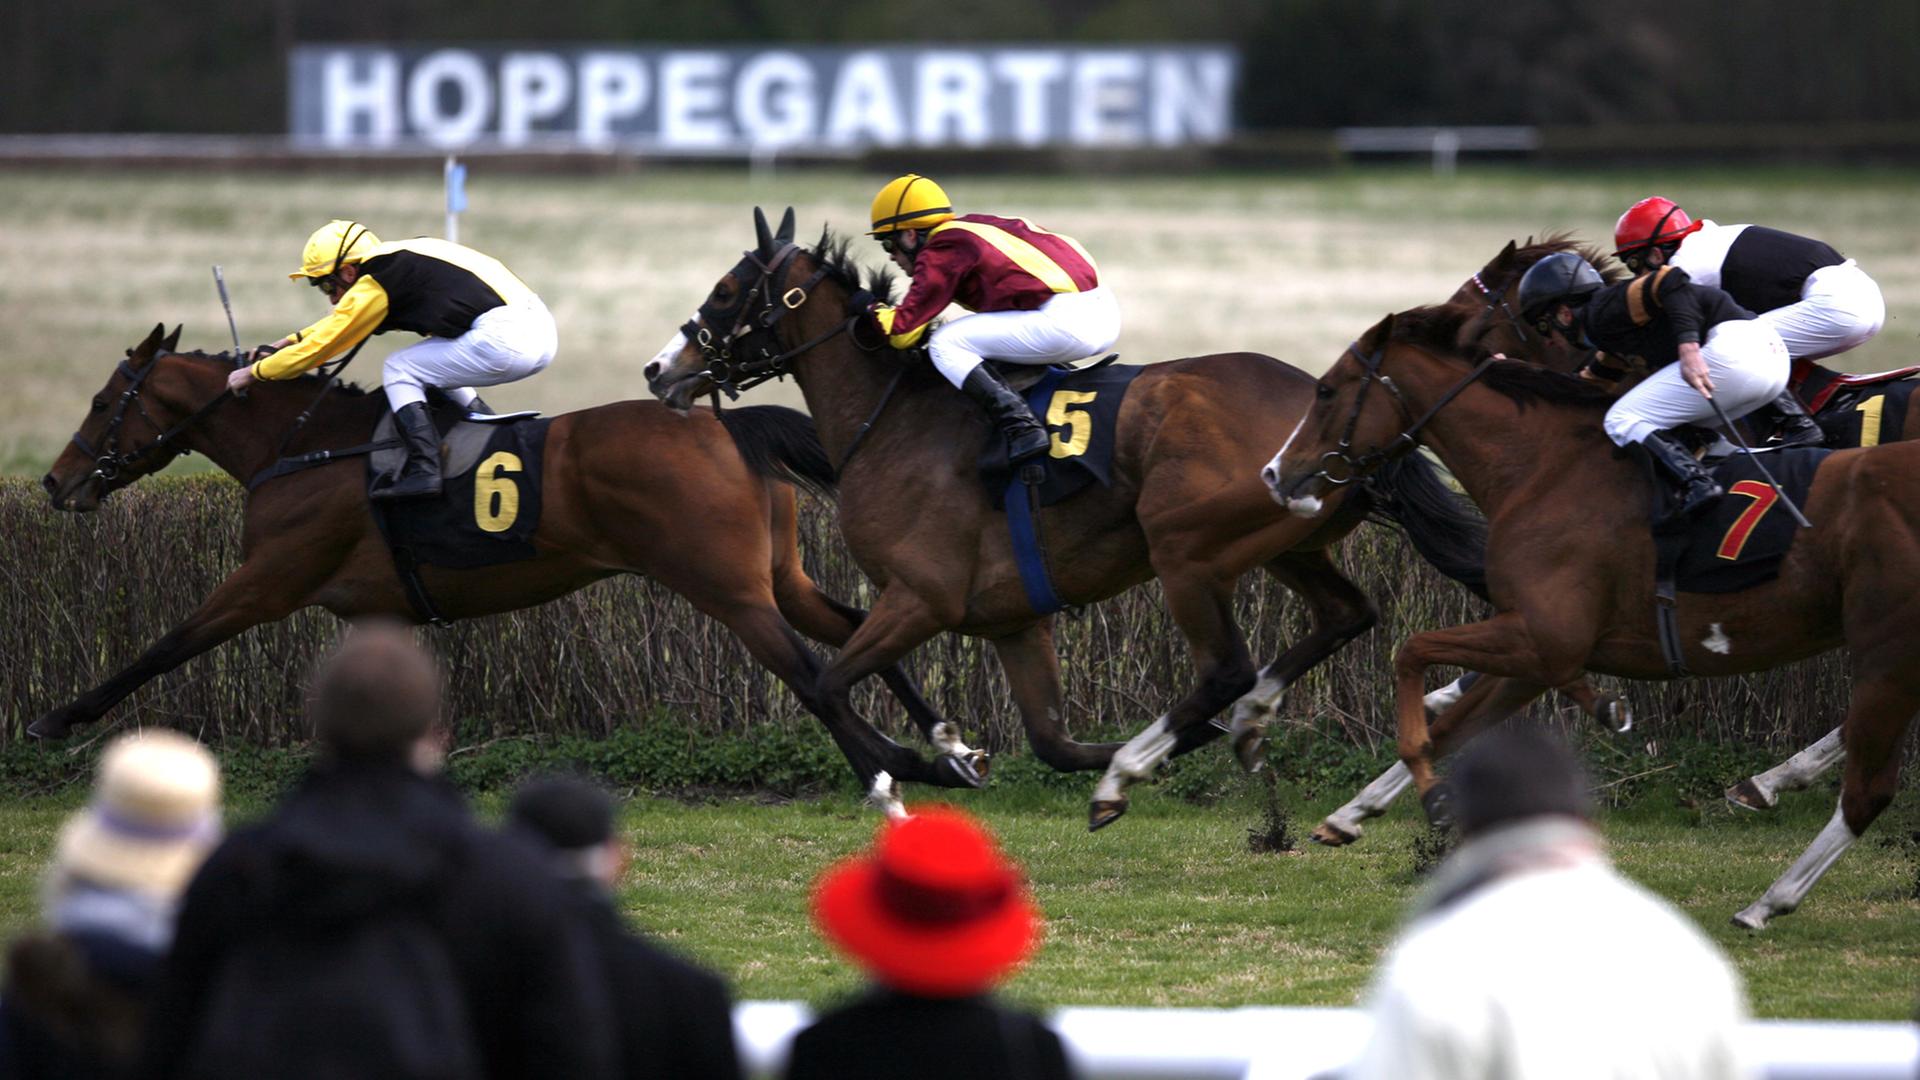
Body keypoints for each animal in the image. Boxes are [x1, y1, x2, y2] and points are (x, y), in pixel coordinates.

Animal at [35, 322, 983, 795]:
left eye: (103, 401)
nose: (55, 482)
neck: (304, 450)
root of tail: (719, 422)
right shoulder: (373, 609)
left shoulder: (267, 581)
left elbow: (167, 643)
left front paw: (59, 718)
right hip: (778, 575)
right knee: (857, 626)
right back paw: (947, 750)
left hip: (725, 587)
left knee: (807, 671)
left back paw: (892, 765)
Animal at [652, 212, 1489, 834]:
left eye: (726, 291)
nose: (660, 370)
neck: (893, 419)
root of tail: (1341, 413)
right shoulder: (1014, 621)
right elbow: (1051, 743)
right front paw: (957, 755)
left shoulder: (920, 599)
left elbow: (825, 685)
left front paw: (915, 771)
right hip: (1289, 545)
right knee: (1347, 615)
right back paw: (1243, 729)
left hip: (1184, 551)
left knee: (1227, 668)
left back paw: (1148, 762)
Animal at [1267, 305, 1912, 926]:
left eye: (1326, 390)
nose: (1274, 473)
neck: (1546, 466)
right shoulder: (1535, 645)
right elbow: (1453, 725)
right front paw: (1352, 814)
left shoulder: (1546, 636)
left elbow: (1412, 652)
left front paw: (1434, 794)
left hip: (1886, 653)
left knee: (1868, 791)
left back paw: (1766, 901)